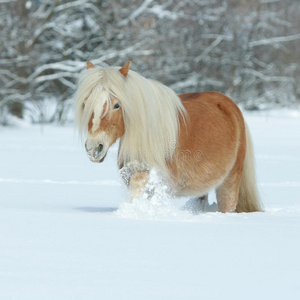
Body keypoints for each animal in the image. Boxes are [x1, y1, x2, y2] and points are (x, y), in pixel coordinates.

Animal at [75, 61, 262, 212]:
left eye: (116, 105)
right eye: (86, 103)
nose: (94, 148)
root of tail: (231, 105)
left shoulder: (158, 178)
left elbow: (138, 185)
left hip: (229, 183)